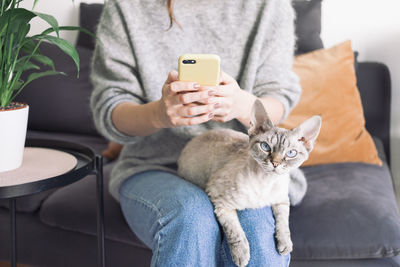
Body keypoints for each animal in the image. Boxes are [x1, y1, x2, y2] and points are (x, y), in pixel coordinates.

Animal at [178, 100, 322, 267]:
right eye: (265, 146)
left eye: (291, 153)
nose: (275, 163)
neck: (266, 182)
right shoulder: (219, 199)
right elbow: (235, 232)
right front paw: (241, 255)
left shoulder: (282, 199)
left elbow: (283, 222)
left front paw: (285, 243)